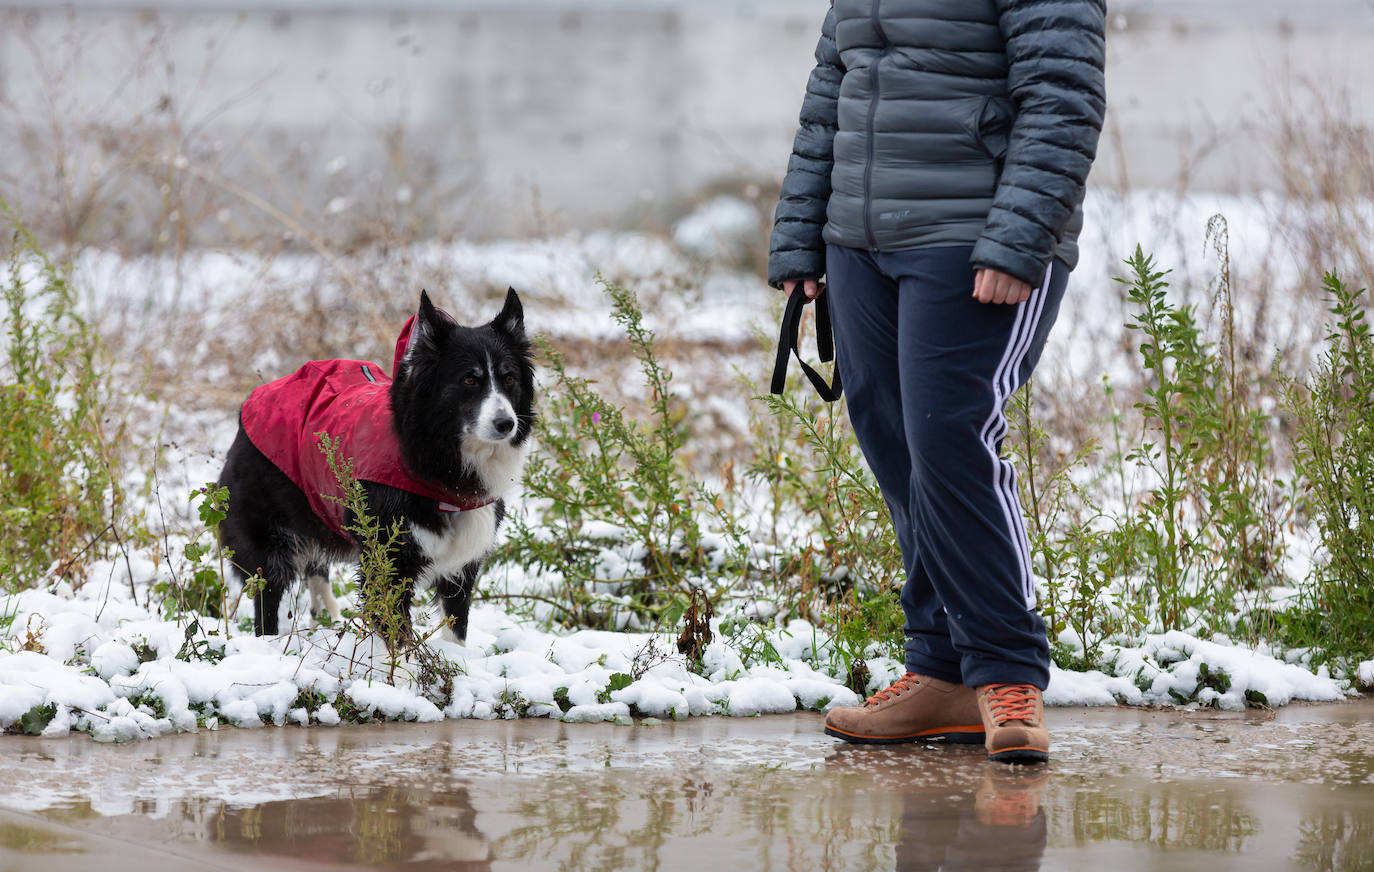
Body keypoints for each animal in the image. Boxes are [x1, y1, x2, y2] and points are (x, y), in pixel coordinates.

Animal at [217, 289, 533, 645]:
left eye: (509, 378)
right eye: (469, 380)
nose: (507, 424)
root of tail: (252, 402)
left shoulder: (462, 561)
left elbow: (456, 626)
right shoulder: (386, 559)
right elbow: (396, 633)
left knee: (315, 569)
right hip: (265, 538)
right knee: (267, 595)